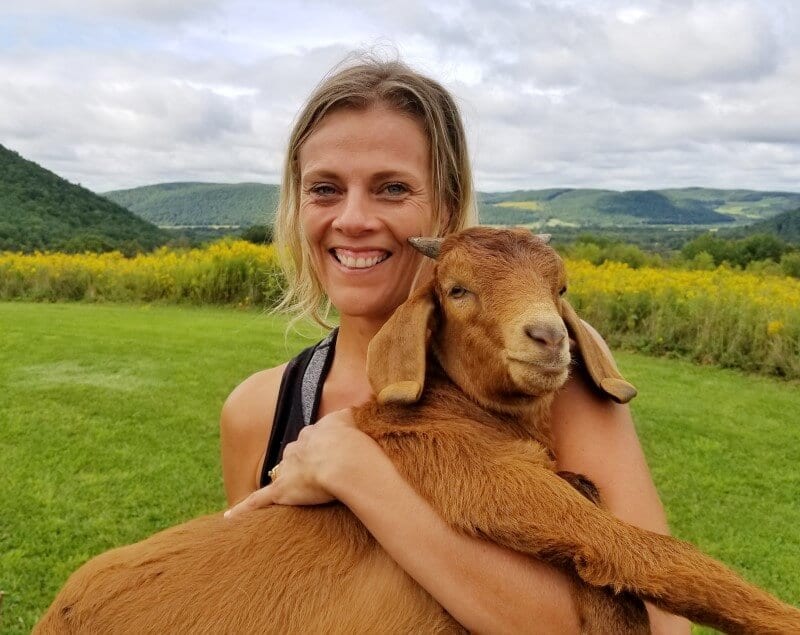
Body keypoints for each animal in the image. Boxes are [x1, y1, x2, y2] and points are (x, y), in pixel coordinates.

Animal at [36, 229, 800, 635]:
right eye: (457, 289)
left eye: (560, 288)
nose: (548, 337)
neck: (460, 412)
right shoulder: (482, 482)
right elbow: (646, 553)